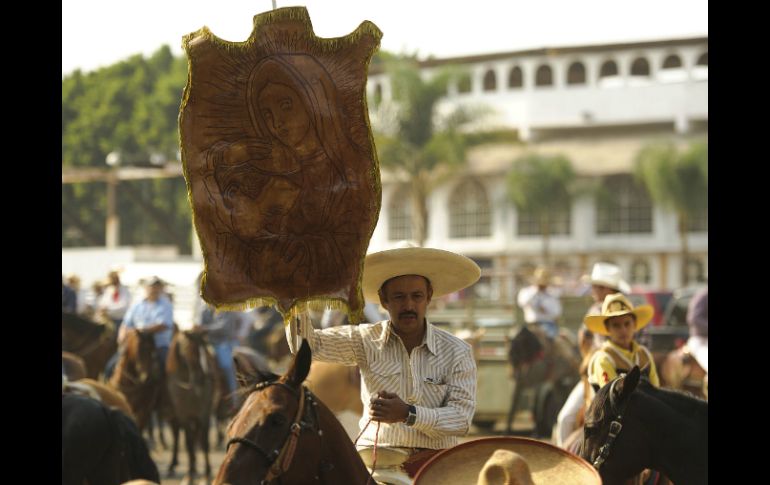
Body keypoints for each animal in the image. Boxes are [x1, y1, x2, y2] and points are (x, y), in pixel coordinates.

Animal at [165, 328, 218, 480]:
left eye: (204, 349)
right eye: (190, 350)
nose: (203, 378)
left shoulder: (204, 412)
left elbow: (204, 440)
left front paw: (207, 471)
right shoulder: (182, 413)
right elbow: (188, 440)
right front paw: (190, 470)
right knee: (177, 434)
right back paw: (175, 465)